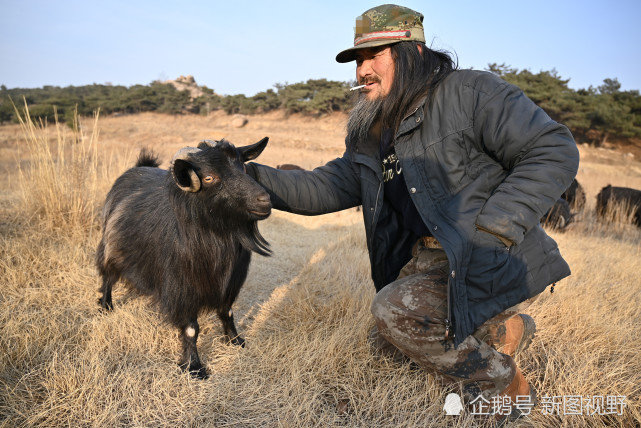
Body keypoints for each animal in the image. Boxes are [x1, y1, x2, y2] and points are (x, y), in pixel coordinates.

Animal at [96, 137, 272, 378]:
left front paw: (235, 341)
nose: (264, 200)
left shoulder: (229, 284)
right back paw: (106, 306)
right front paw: (195, 367)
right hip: (111, 248)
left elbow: (227, 312)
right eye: (209, 177)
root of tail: (136, 169)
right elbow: (191, 329)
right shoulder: (182, 288)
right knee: (107, 276)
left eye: (242, 166)